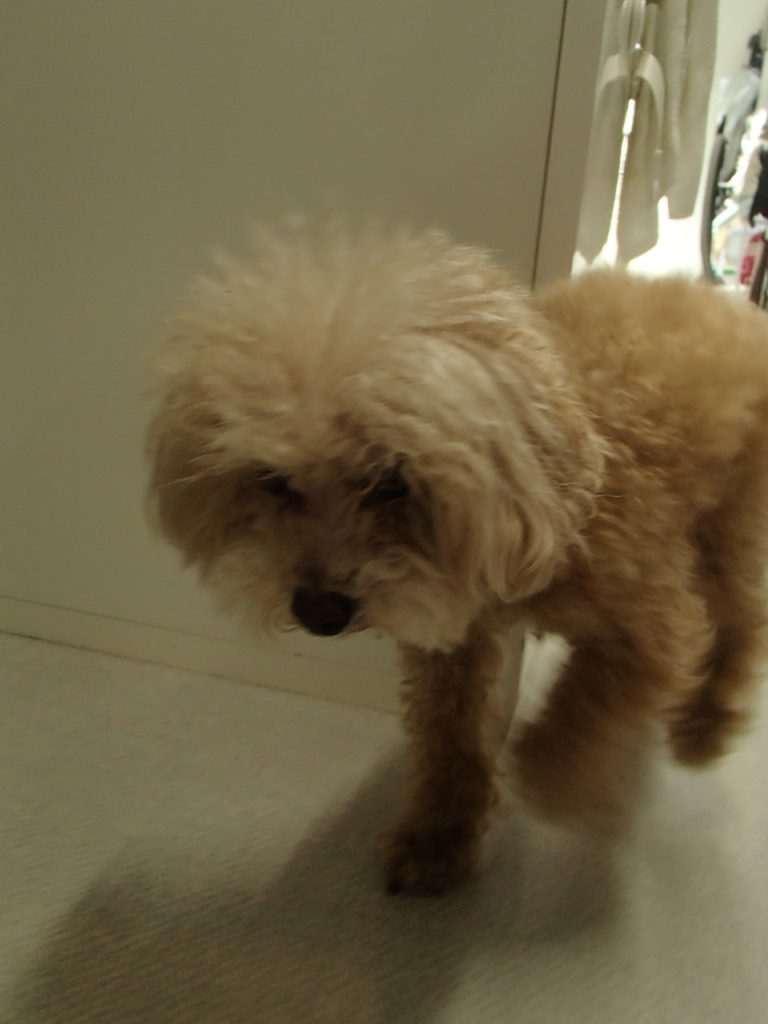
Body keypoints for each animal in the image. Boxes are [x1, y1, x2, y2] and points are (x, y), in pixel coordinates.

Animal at [147, 222, 768, 895]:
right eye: (272, 477)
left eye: (392, 477)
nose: (318, 611)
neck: (557, 504)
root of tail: (735, 309)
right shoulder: (454, 644)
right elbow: (450, 740)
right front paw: (437, 840)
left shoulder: (656, 629)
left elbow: (586, 709)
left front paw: (556, 783)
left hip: (728, 533)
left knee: (743, 621)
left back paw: (705, 726)